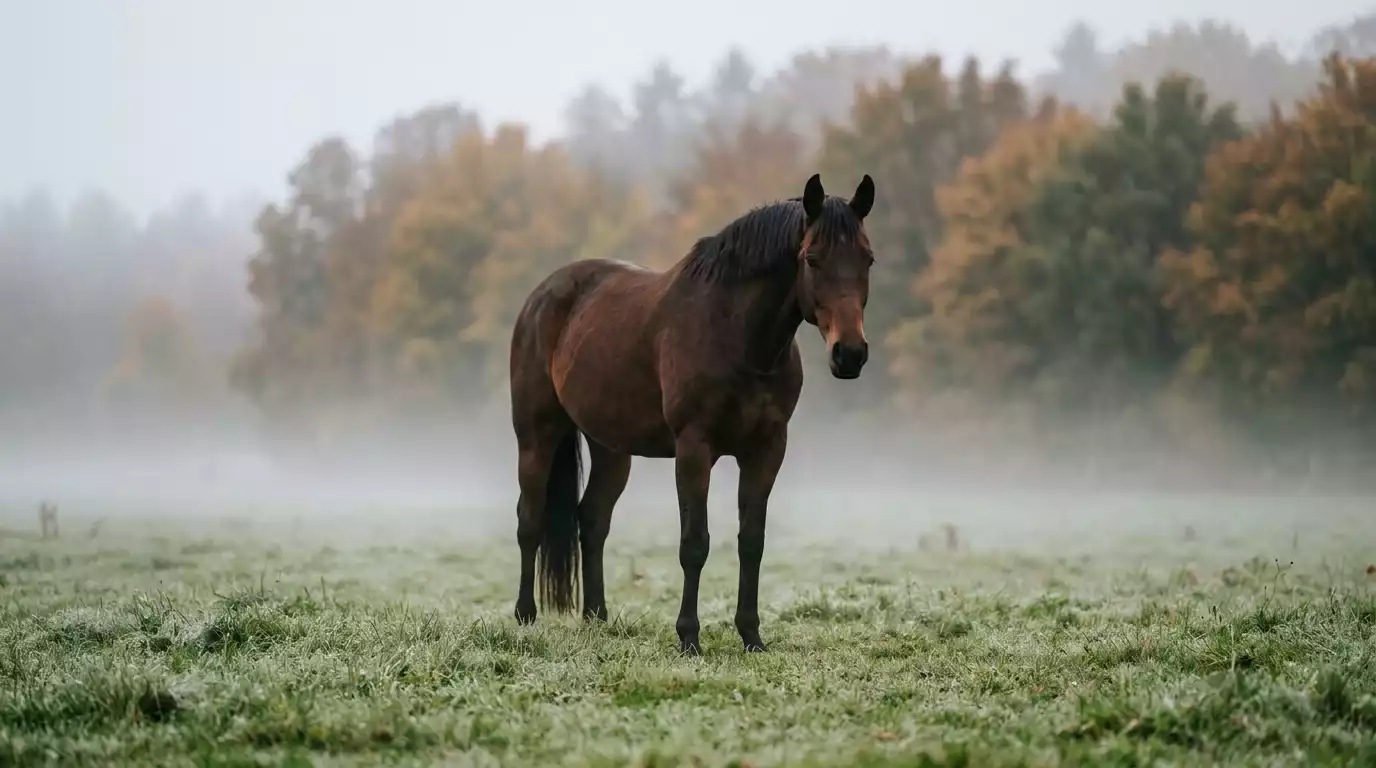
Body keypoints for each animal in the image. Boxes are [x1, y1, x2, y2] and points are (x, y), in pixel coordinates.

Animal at [507, 172, 876, 654]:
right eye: (812, 260)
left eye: (867, 258)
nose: (849, 354)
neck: (736, 336)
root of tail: (541, 295)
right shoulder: (694, 448)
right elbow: (694, 544)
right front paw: (689, 637)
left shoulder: (766, 449)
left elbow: (751, 542)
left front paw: (751, 636)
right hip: (537, 435)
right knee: (529, 520)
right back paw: (525, 616)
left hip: (611, 448)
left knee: (593, 520)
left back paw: (597, 617)